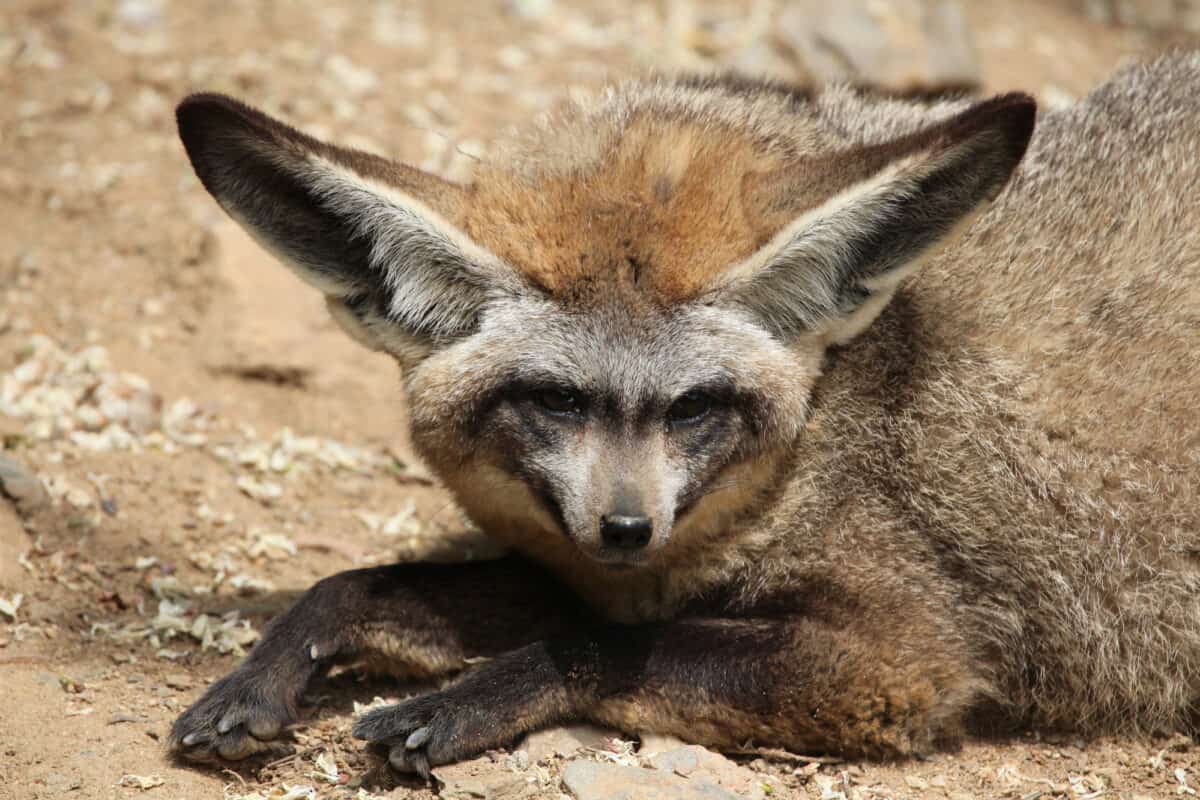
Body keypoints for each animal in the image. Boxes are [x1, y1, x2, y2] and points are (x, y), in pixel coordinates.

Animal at [168, 52, 1200, 776]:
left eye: (696, 405)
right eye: (557, 399)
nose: (627, 527)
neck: (822, 439)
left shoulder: (901, 657)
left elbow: (613, 649)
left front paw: (469, 699)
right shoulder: (587, 572)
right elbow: (354, 585)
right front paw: (261, 675)